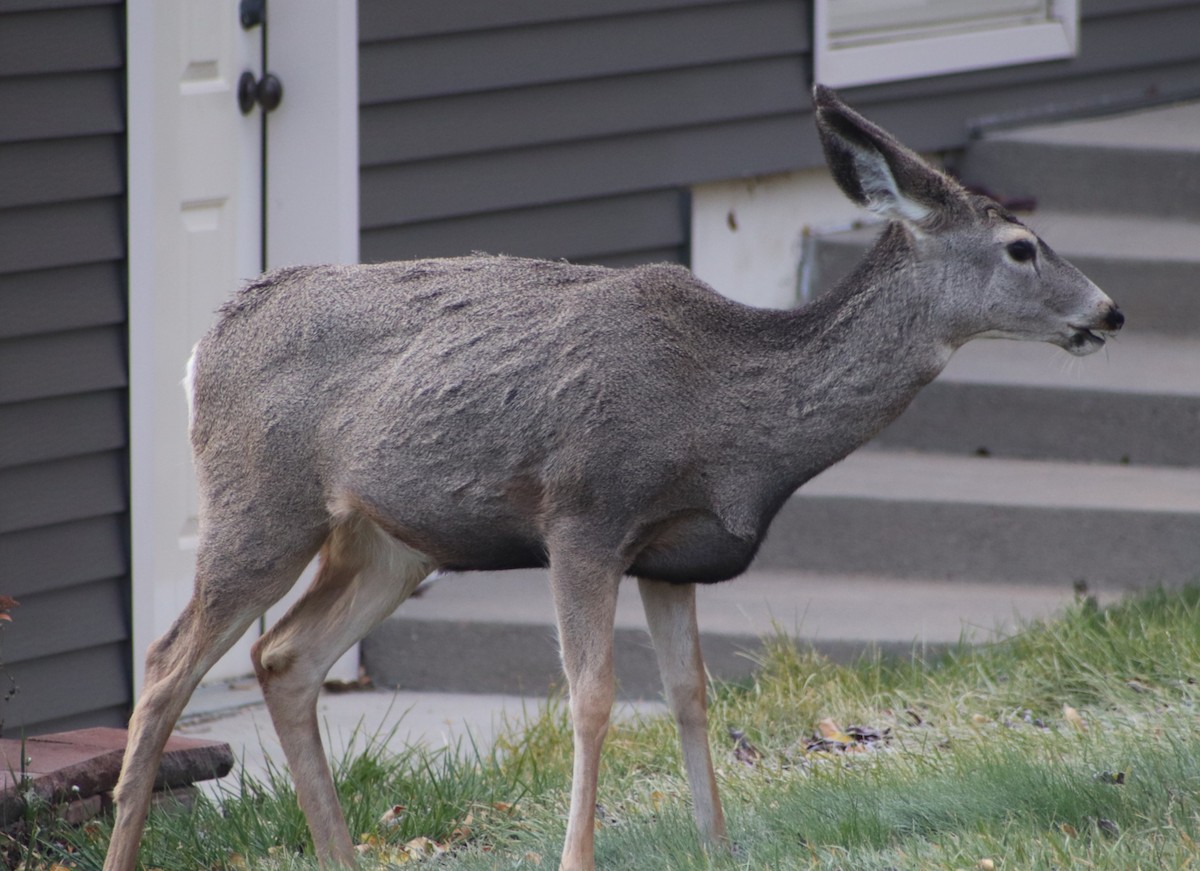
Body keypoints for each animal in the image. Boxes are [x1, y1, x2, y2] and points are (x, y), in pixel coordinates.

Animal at [104, 85, 1122, 871]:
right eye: (1023, 246)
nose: (1111, 311)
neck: (730, 414)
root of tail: (207, 341)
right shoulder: (585, 516)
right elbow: (592, 698)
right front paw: (578, 853)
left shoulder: (672, 555)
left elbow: (692, 692)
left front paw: (717, 843)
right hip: (259, 502)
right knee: (164, 667)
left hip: (390, 541)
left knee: (285, 656)